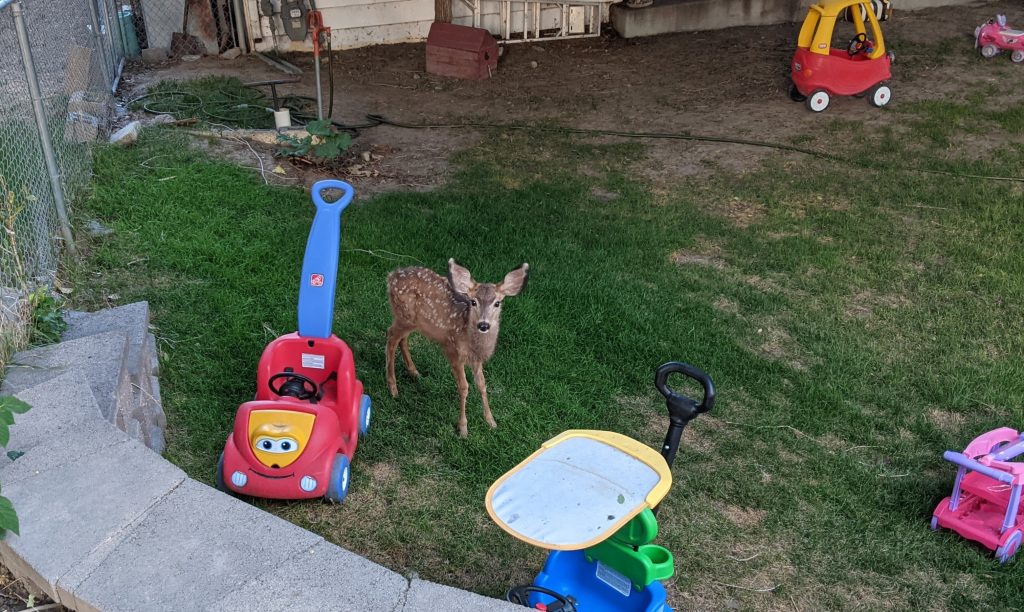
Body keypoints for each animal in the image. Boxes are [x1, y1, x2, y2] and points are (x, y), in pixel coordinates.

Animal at [385, 260, 528, 438]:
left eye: (497, 303)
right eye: (473, 302)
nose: (483, 325)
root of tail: (391, 276)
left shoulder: (476, 358)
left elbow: (482, 384)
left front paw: (491, 421)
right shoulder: (454, 351)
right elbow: (464, 386)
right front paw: (463, 428)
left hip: (412, 321)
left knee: (401, 339)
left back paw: (414, 372)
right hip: (404, 316)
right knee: (390, 337)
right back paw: (393, 388)